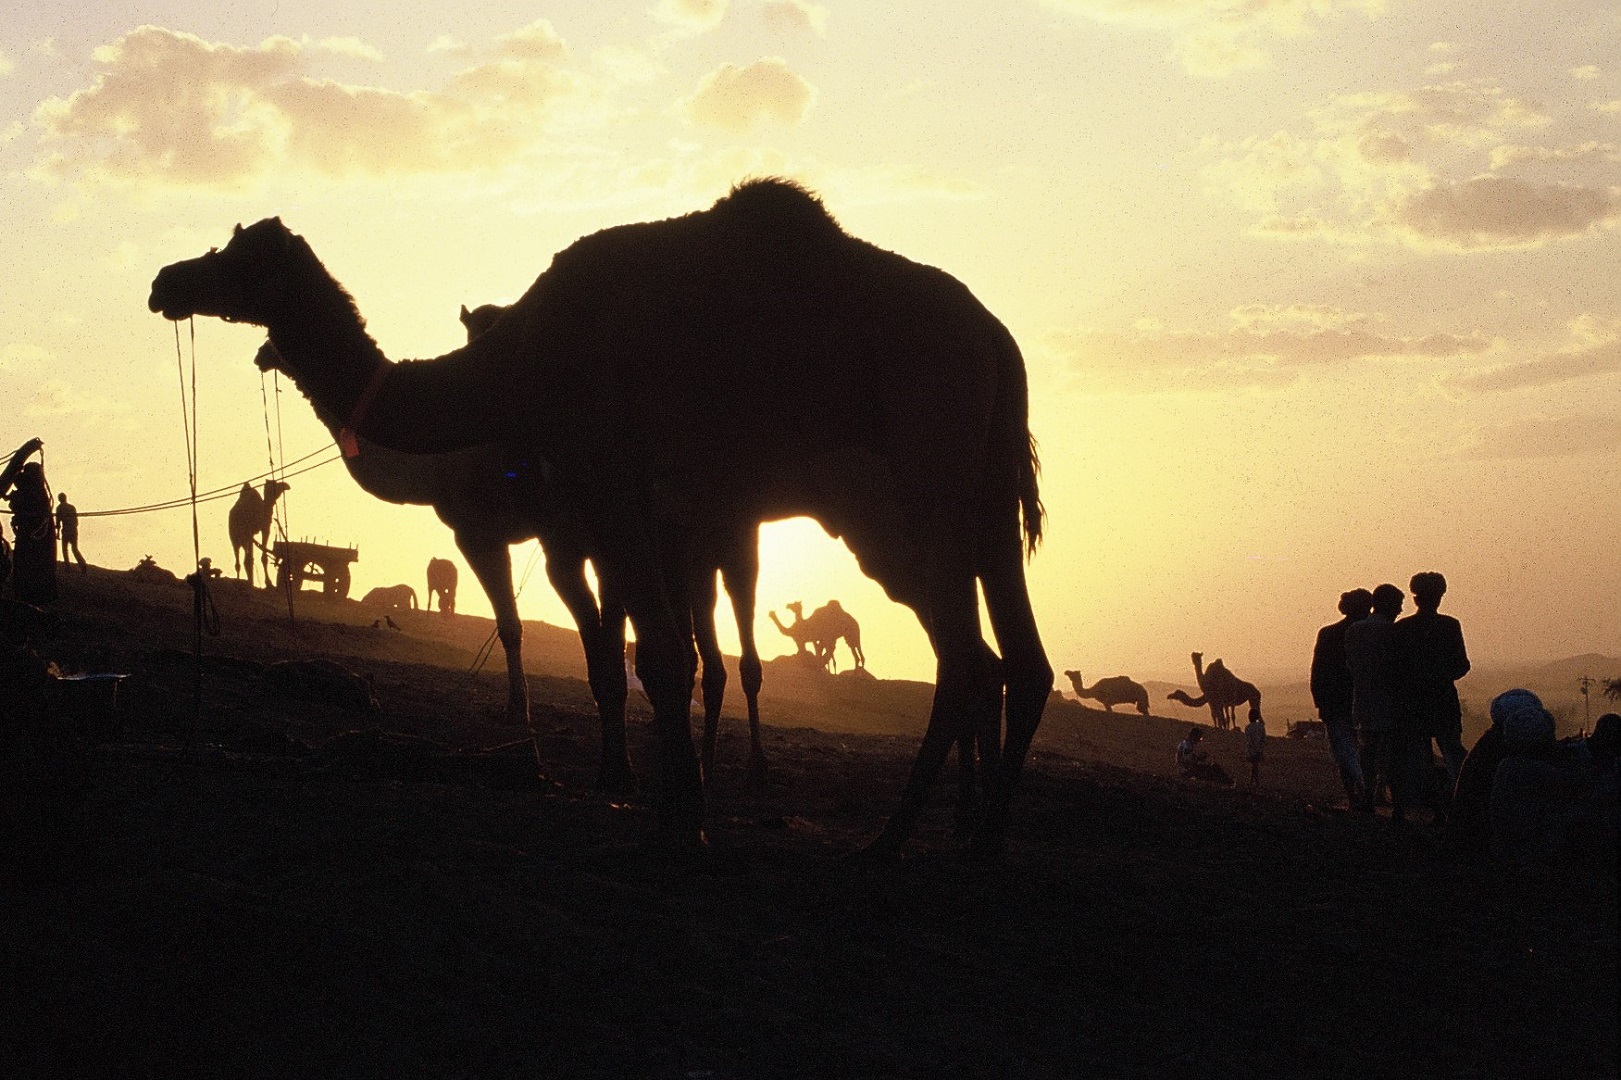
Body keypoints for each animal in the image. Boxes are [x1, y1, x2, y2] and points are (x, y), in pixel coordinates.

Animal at [149, 178, 1050, 856]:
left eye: (237, 254)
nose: (166, 282)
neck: (514, 364)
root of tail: (998, 340)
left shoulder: (603, 486)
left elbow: (655, 657)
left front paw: (674, 821)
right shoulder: (619, 509)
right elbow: (651, 654)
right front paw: (668, 804)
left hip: (914, 489)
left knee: (968, 659)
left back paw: (895, 839)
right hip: (981, 499)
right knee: (1018, 660)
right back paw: (974, 840)